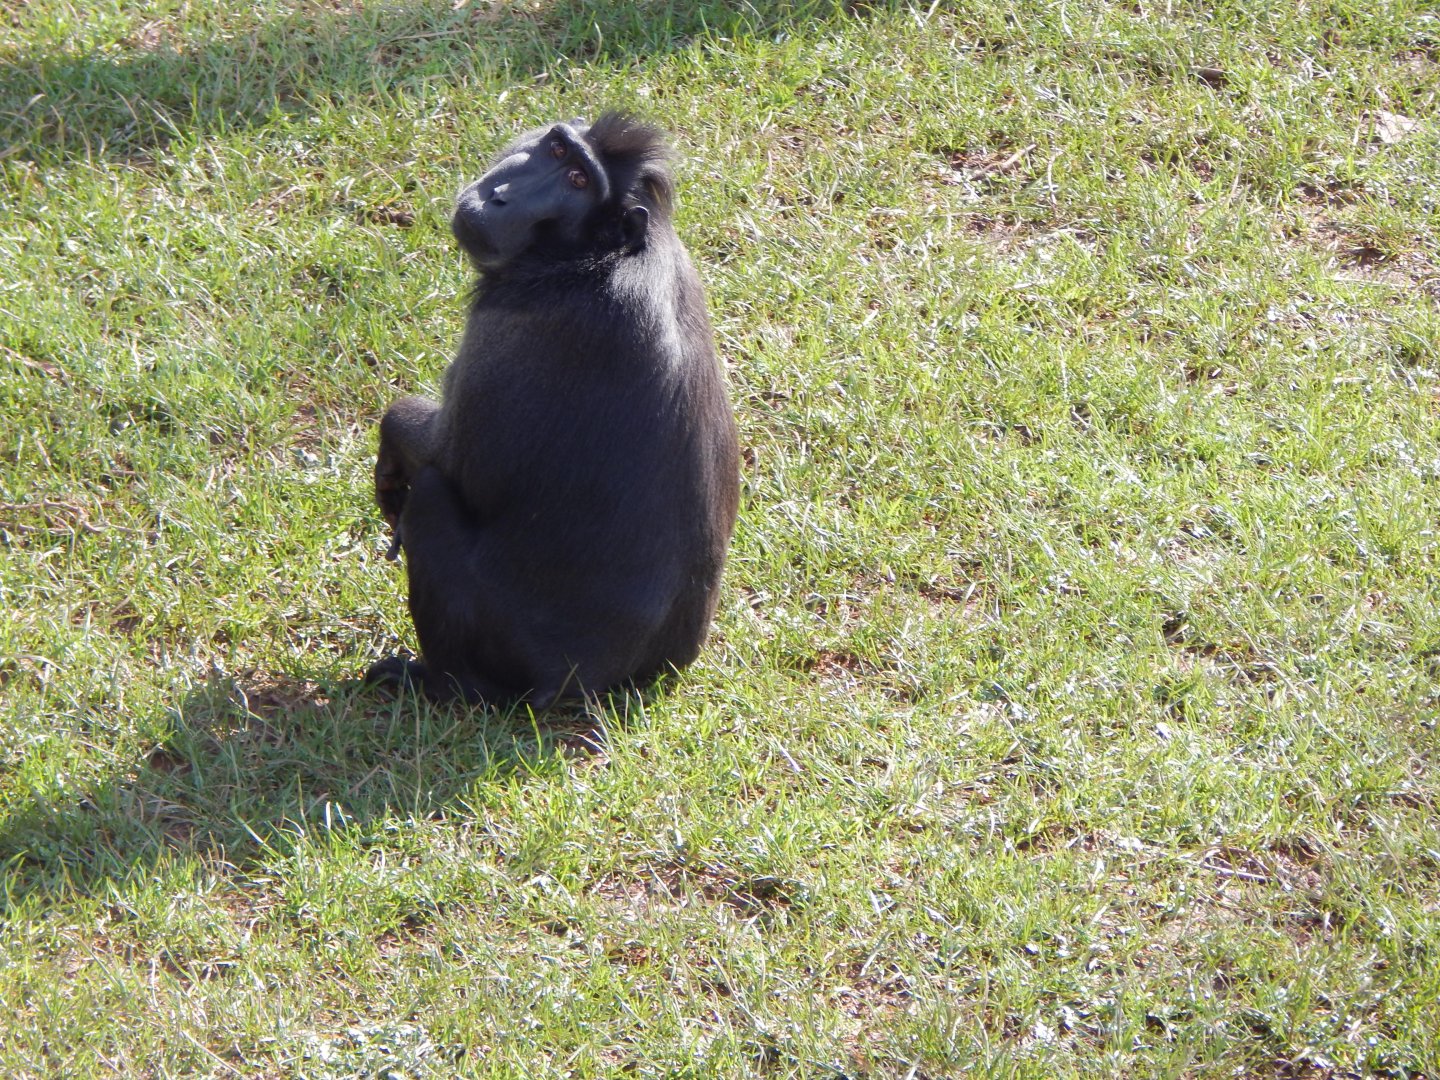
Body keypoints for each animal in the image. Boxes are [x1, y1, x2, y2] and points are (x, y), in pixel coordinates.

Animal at [365, 112, 740, 709]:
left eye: (578, 181)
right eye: (558, 149)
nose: (500, 194)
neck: (602, 254)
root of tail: (583, 683)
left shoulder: (518, 322)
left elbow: (452, 459)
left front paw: (393, 450)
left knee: (431, 498)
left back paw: (443, 684)